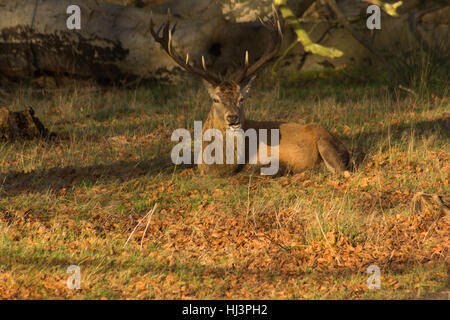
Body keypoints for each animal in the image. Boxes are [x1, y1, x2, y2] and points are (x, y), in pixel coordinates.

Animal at [149, 6, 350, 176]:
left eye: (242, 98)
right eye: (215, 99)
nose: (233, 118)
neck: (216, 166)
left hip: (324, 141)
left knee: (341, 170)